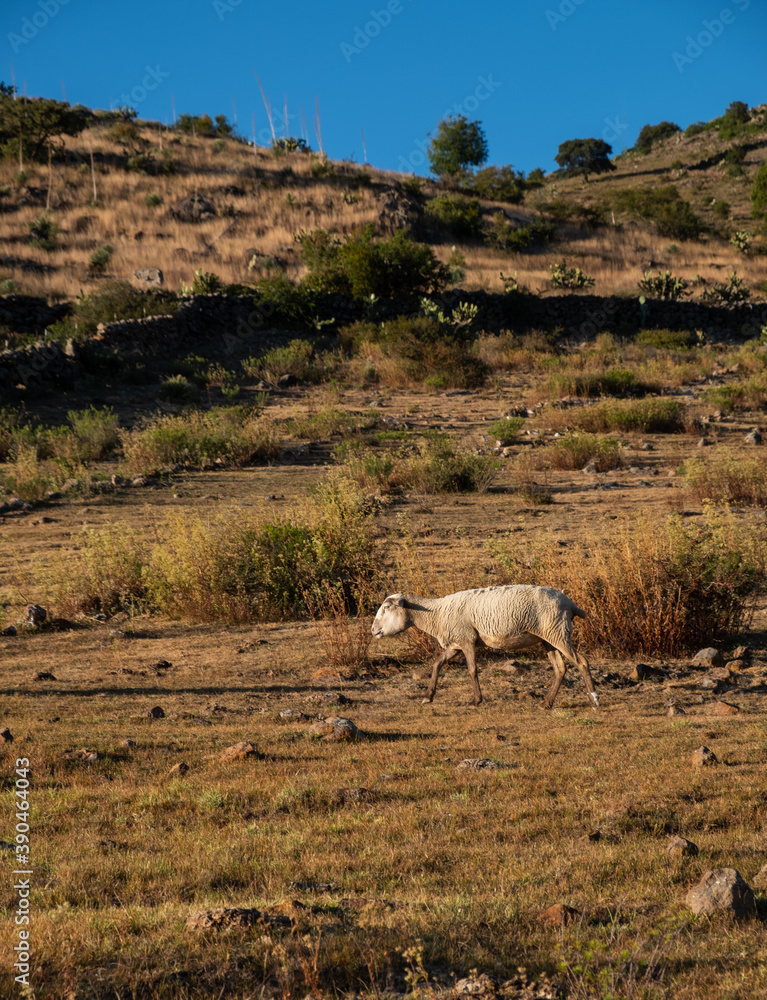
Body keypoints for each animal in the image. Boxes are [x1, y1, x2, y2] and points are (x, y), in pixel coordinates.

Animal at [371, 584, 599, 709]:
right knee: (560, 668)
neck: (436, 613)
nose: (373, 630)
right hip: (547, 638)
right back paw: (546, 704)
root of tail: (570, 603)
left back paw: (595, 700)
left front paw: (476, 700)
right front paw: (428, 697)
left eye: (386, 608)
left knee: (581, 662)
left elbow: (472, 670)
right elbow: (437, 664)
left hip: (557, 632)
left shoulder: (467, 640)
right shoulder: (455, 643)